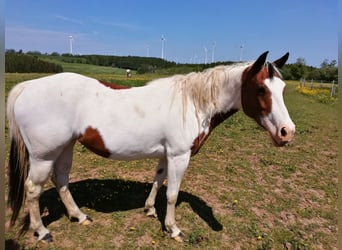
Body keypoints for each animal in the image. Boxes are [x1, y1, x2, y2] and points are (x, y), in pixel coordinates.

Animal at [6, 50, 294, 242]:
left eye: (282, 88)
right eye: (260, 89)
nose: (287, 133)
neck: (193, 103)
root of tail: (28, 87)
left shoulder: (166, 155)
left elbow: (158, 180)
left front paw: (149, 210)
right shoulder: (180, 156)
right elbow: (172, 194)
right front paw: (173, 229)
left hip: (65, 148)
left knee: (62, 179)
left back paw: (79, 216)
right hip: (44, 156)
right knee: (33, 189)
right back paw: (42, 232)